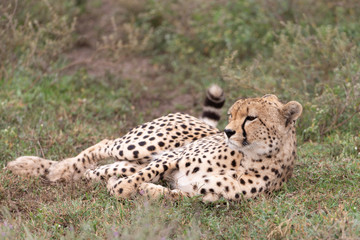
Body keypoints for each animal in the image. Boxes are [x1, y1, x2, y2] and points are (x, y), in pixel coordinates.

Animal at [7, 87, 302, 202]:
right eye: (231, 115)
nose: (228, 132)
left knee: (96, 171)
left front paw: (146, 190)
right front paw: (123, 188)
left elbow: (170, 194)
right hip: (141, 145)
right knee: (103, 146)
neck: (250, 157)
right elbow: (135, 180)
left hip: (132, 158)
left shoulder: (203, 194)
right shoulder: (172, 158)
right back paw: (42, 168)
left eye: (251, 117)